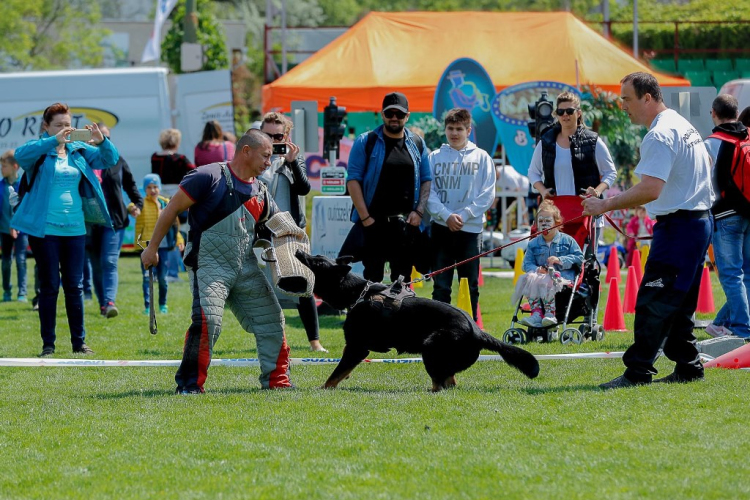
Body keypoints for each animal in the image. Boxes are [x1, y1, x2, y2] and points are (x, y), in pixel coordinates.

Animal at [294, 252, 540, 392]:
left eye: (316, 262)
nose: (298, 251)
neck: (358, 293)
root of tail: (478, 332)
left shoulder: (357, 347)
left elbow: (335, 373)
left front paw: (323, 389)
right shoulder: (356, 350)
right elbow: (342, 372)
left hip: (430, 347)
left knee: (440, 385)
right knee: (449, 382)